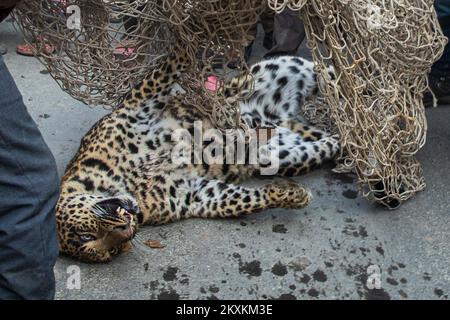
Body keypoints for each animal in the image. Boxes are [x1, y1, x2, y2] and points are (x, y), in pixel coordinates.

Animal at [55, 47, 338, 262]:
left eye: (84, 235)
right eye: (111, 248)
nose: (127, 231)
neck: (127, 184)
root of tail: (281, 118)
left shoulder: (138, 105)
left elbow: (169, 65)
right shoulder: (195, 194)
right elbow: (244, 200)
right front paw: (291, 195)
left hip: (280, 69)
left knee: (330, 73)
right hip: (283, 152)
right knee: (328, 142)